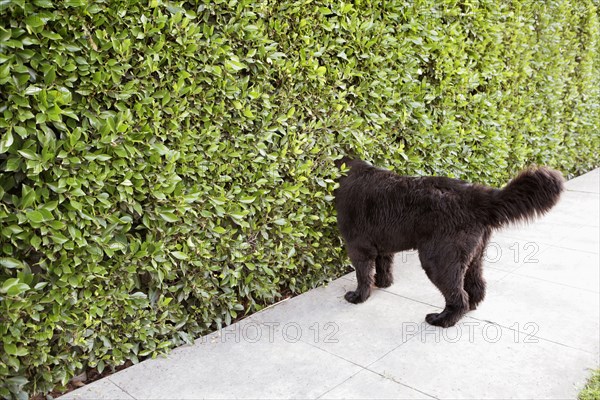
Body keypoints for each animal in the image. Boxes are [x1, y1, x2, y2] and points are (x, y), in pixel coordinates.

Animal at [336, 158, 564, 326]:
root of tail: (476, 197)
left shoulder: (358, 247)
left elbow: (363, 275)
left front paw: (359, 296)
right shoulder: (383, 246)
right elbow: (383, 267)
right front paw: (383, 283)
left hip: (438, 261)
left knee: (458, 297)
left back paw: (442, 320)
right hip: (472, 256)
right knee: (476, 287)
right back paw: (469, 308)